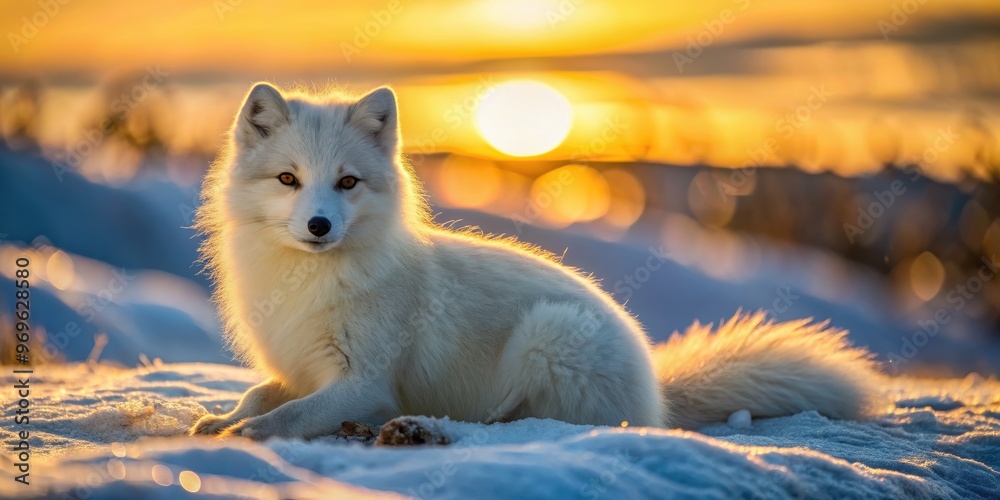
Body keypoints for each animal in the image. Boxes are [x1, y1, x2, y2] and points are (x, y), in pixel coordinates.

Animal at [189, 82, 879, 440]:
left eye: (348, 182)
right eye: (288, 179)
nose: (319, 225)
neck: (310, 280)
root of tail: (657, 397)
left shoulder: (365, 382)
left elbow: (294, 413)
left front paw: (246, 436)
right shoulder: (303, 365)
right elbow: (261, 392)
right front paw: (221, 418)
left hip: (549, 334)